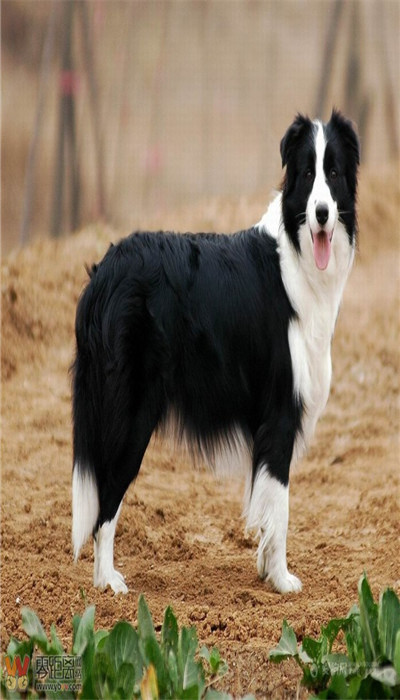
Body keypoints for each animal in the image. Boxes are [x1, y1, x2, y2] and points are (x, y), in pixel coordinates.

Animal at [71, 112, 360, 592]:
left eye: (334, 173)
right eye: (306, 174)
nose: (321, 214)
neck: (298, 254)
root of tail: (104, 273)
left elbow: (266, 506)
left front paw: (265, 571)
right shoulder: (280, 412)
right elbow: (281, 506)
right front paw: (282, 581)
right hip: (132, 413)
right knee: (106, 499)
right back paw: (108, 583)